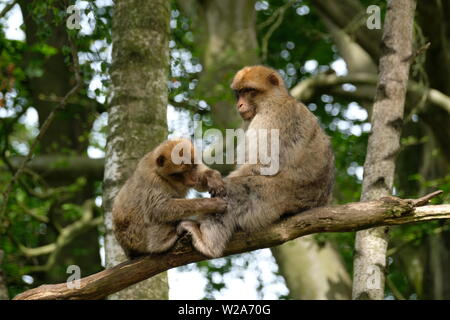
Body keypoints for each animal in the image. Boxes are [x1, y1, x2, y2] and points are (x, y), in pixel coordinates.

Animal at [179, 65, 334, 258]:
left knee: (235, 191)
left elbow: (262, 163)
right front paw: (209, 177)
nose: (239, 105)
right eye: (239, 93)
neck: (272, 99)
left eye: (249, 91)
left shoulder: (271, 116)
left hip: (277, 196)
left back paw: (208, 243)